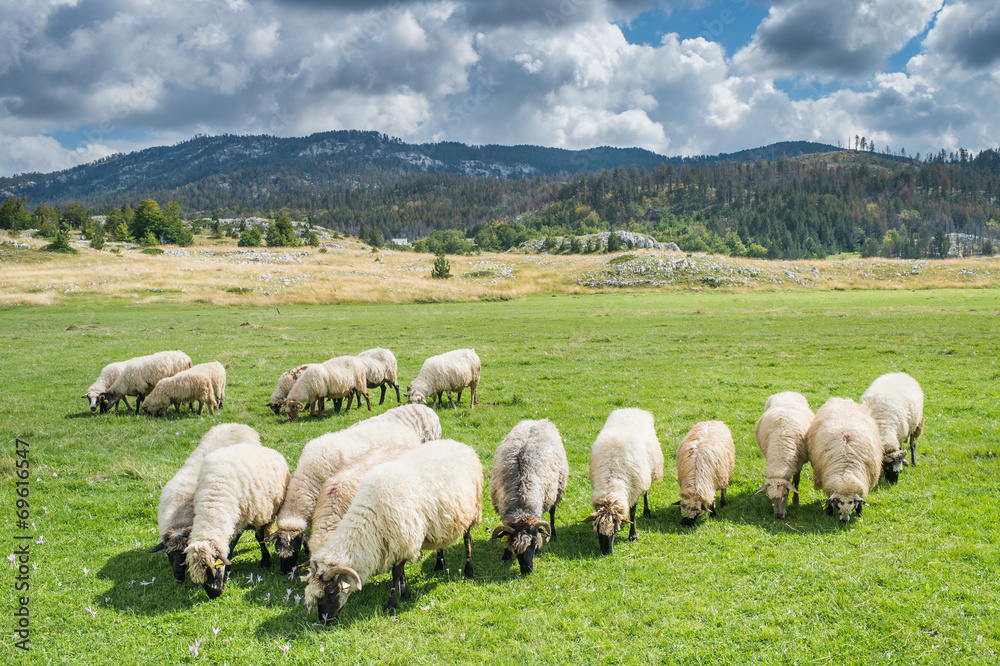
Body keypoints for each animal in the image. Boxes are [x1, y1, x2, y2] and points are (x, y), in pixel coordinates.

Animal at [184, 443, 290, 599]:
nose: (214, 594)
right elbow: (231, 544)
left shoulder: (257, 514)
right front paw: (228, 567)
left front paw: (265, 560)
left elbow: (259, 537)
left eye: (213, 568)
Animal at [302, 438, 483, 623]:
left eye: (331, 591)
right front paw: (405, 594)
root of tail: (459, 444)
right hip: (441, 521)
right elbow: (401, 573)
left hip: (472, 510)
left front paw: (392, 604)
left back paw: (469, 571)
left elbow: (396, 573)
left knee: (467, 540)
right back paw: (439, 565)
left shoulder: (403, 539)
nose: (324, 620)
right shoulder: (396, 541)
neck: (370, 516)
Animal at [489, 419, 568, 574]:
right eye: (515, 547)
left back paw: (553, 535)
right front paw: (506, 555)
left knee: (552, 512)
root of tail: (540, 420)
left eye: (534, 543)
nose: (527, 570)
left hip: (557, 489)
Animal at [585, 408, 664, 555]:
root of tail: (632, 409)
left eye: (616, 530)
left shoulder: (634, 489)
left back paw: (646, 511)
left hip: (648, 472)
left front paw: (633, 535)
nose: (606, 552)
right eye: (597, 530)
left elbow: (632, 512)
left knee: (646, 491)